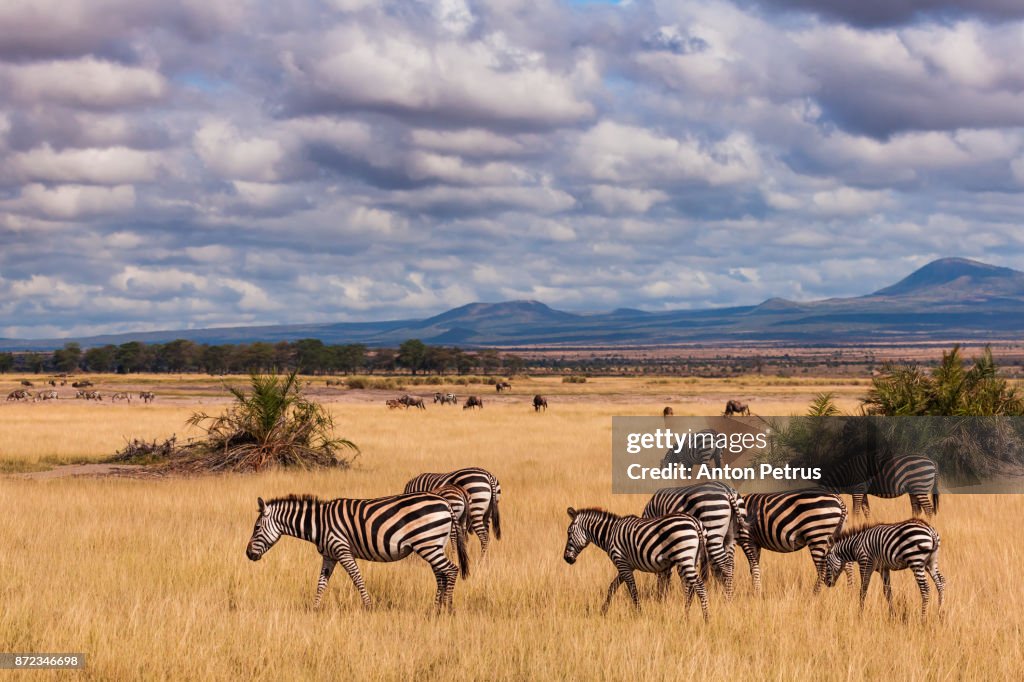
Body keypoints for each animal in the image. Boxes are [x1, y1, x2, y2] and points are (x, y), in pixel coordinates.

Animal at [243, 489, 468, 610]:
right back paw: (436, 608)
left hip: (428, 543)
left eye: (256, 528)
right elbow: (321, 583)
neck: (319, 524)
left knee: (451, 570)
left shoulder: (342, 549)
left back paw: (448, 608)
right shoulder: (329, 556)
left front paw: (369, 607)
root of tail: (446, 503)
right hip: (434, 543)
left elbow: (357, 578)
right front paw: (314, 609)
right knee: (440, 574)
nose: (248, 554)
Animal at [561, 503, 712, 622]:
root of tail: (694, 521)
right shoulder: (627, 565)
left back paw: (706, 619)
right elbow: (612, 587)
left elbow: (633, 590)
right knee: (690, 588)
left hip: (684, 556)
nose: (566, 559)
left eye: (569, 533)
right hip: (692, 559)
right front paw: (603, 611)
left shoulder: (621, 562)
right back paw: (685, 616)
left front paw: (639, 613)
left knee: (699, 586)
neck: (610, 533)